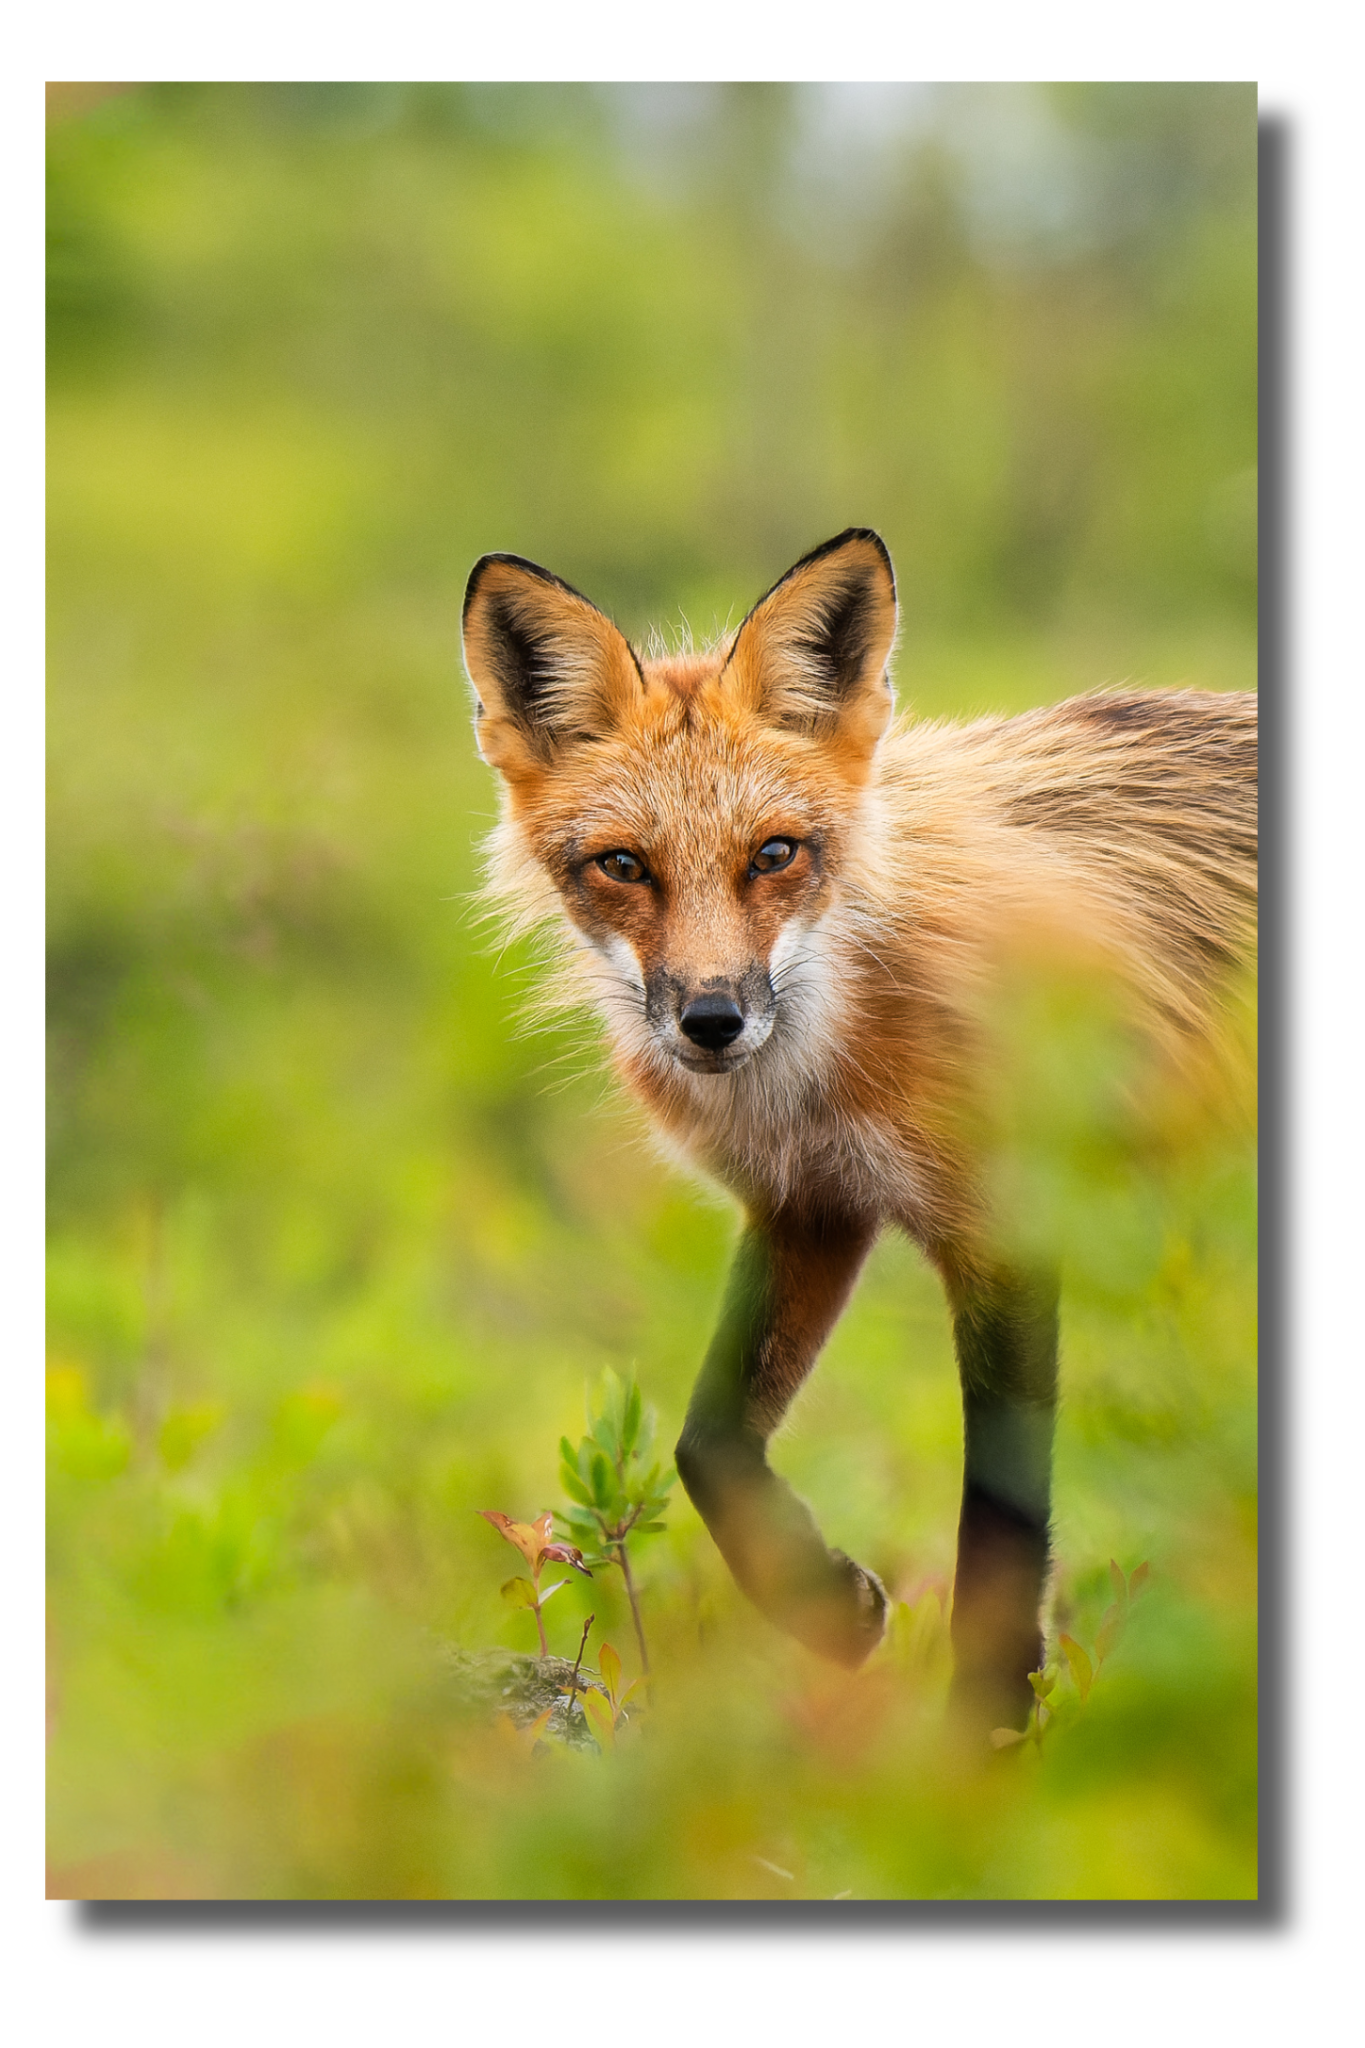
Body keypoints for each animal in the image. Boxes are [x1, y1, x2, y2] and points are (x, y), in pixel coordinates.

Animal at [460, 528, 1257, 1729]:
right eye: (624, 865)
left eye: (775, 853)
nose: (711, 1020)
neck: (827, 1064)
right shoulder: (810, 1204)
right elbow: (707, 1442)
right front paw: (822, 1607)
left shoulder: (1007, 1229)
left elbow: (1001, 1528)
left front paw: (983, 1734)